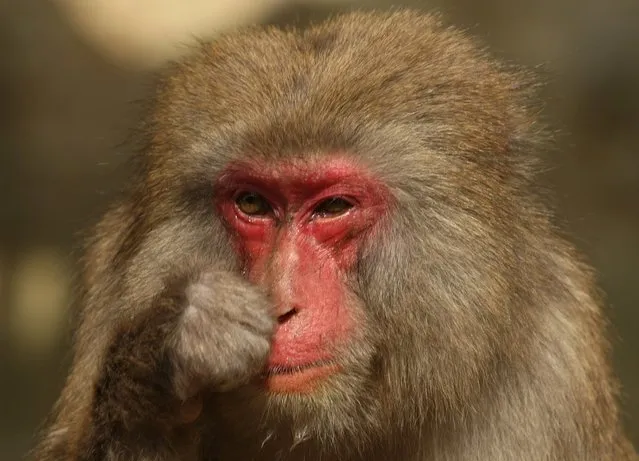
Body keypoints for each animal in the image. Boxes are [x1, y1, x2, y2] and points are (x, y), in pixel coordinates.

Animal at [32, 8, 636, 460]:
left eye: (333, 207)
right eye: (252, 203)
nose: (281, 306)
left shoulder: (556, 367)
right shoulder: (115, 280)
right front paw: (167, 351)